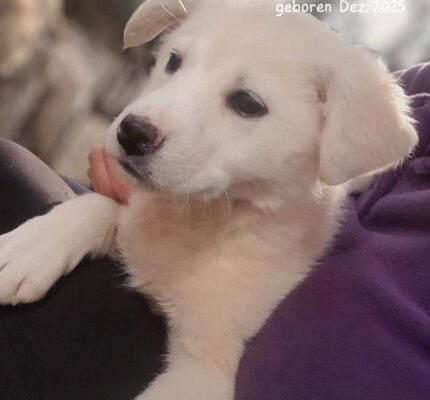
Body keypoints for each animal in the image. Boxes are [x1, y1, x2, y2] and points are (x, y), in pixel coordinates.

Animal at [0, 1, 418, 399]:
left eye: (247, 103)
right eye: (174, 61)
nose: (132, 133)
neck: (202, 219)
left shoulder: (204, 372)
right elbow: (101, 206)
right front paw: (28, 250)